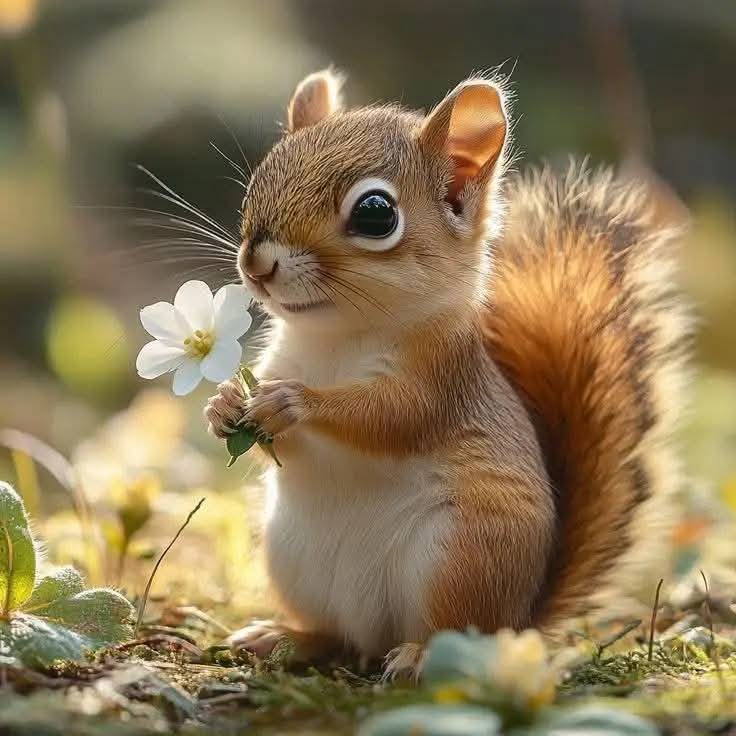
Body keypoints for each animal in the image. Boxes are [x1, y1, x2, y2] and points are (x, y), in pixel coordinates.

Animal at [205, 69, 689, 672]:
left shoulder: (441, 381)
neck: (339, 339)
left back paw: (416, 657)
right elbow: (284, 448)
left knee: (452, 632)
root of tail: (521, 617)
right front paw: (224, 404)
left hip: (461, 557)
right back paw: (284, 637)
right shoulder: (280, 360)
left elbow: (388, 417)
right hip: (291, 558)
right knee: (336, 635)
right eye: (259, 178)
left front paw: (294, 402)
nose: (256, 263)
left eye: (375, 214)